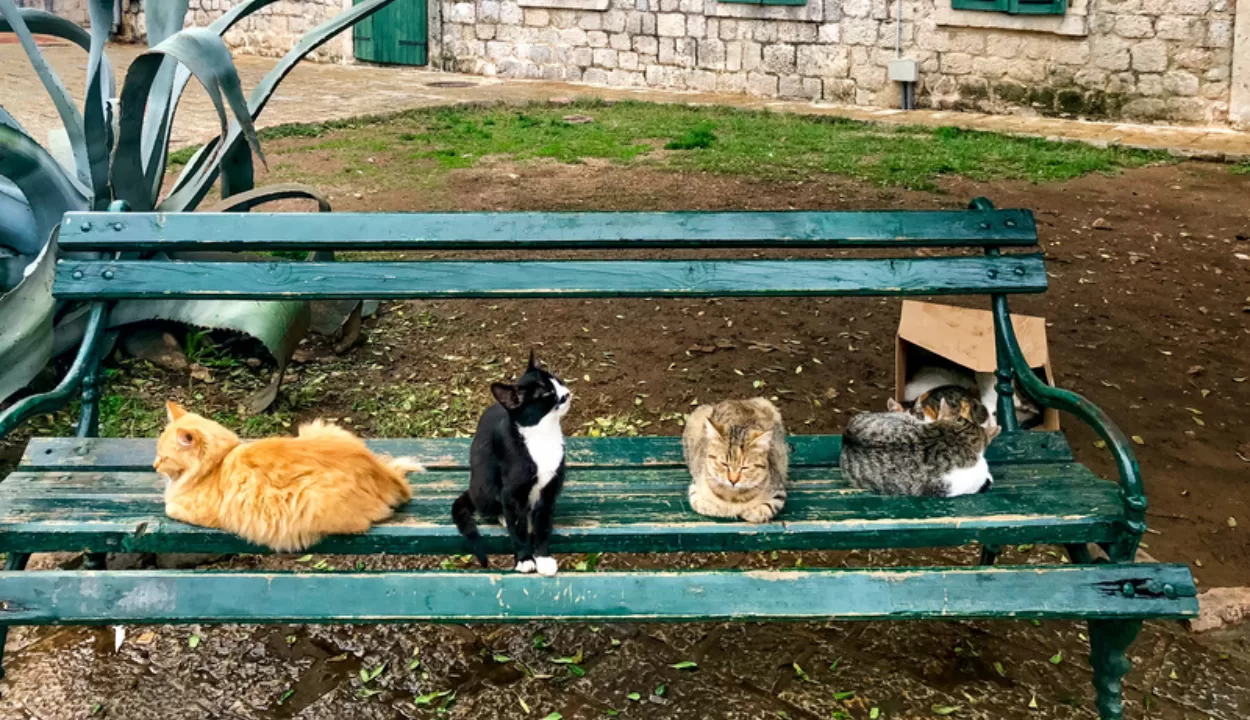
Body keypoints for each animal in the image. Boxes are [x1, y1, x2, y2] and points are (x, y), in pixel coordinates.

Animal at [154, 400, 420, 550]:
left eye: (164, 457)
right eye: (157, 454)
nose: (154, 465)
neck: (218, 463)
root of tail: (375, 467)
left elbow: (169, 507)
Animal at [452, 352, 570, 577]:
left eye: (558, 381)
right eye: (546, 393)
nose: (566, 393)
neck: (543, 436)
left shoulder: (550, 489)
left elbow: (542, 524)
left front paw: (543, 557)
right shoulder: (512, 492)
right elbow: (518, 526)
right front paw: (524, 558)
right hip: (484, 484)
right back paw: (502, 516)